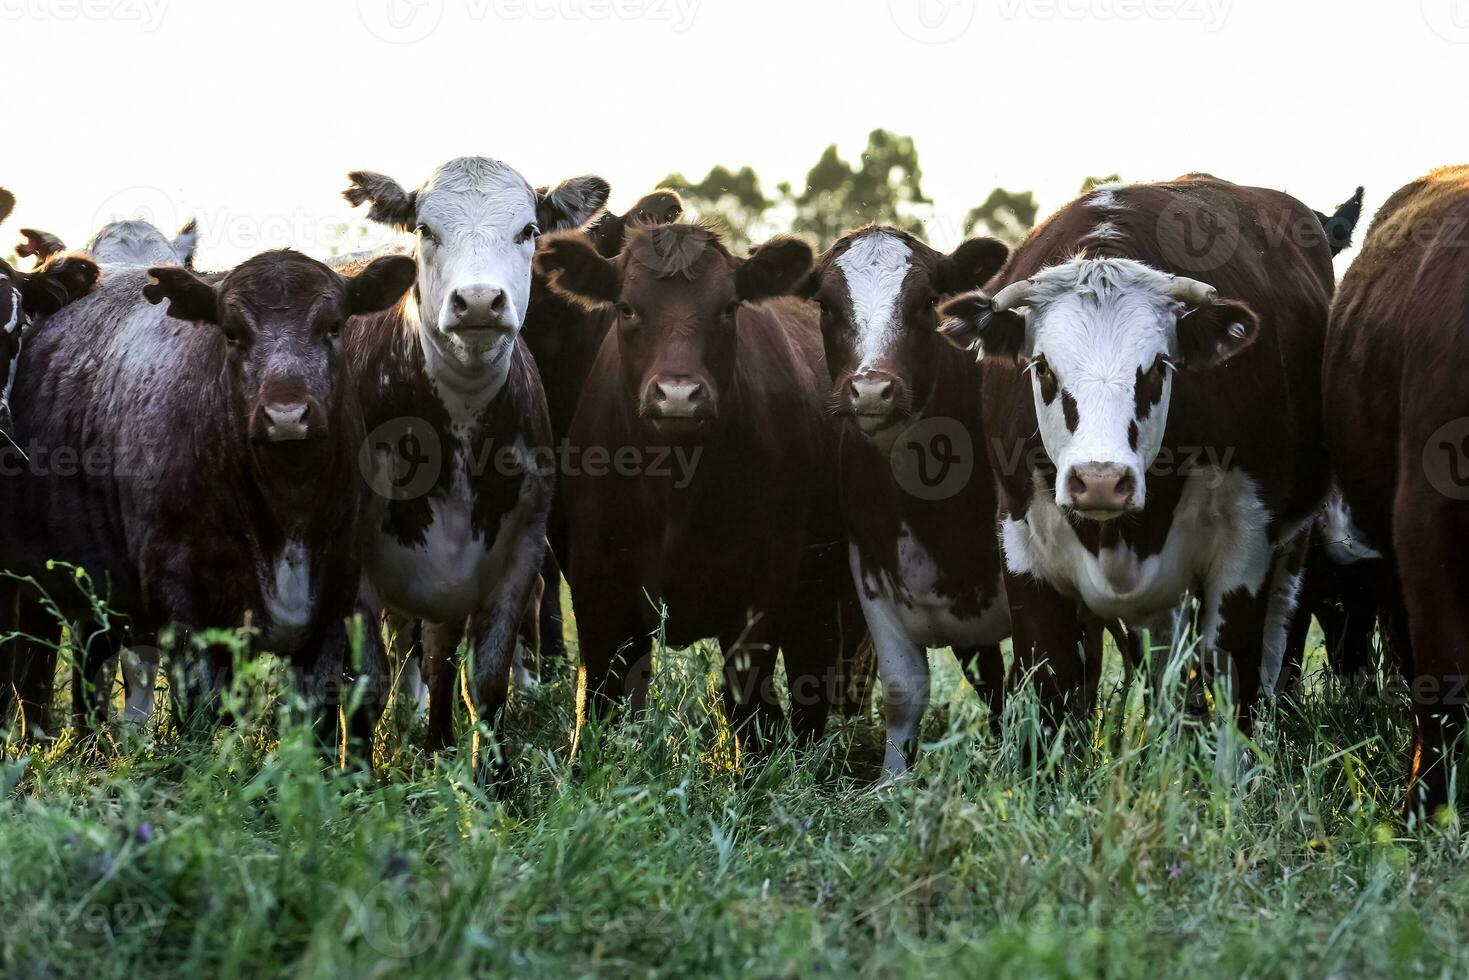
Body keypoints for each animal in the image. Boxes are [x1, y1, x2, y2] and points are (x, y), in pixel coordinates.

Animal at [0, 246, 414, 752]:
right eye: (232, 333)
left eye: (333, 326)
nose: (286, 416)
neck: (286, 509)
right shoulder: (181, 600)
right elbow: (198, 711)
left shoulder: (337, 594)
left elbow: (324, 707)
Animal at [810, 226, 1016, 775]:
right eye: (826, 305)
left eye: (926, 302)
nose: (871, 390)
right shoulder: (872, 572)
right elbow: (904, 692)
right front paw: (892, 779)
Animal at [934, 176, 1339, 740]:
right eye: (1043, 368)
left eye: (1157, 368)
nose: (1100, 480)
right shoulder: (1022, 549)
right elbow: (1054, 681)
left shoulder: (1246, 544)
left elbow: (1233, 677)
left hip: (1288, 552)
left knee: (1275, 635)